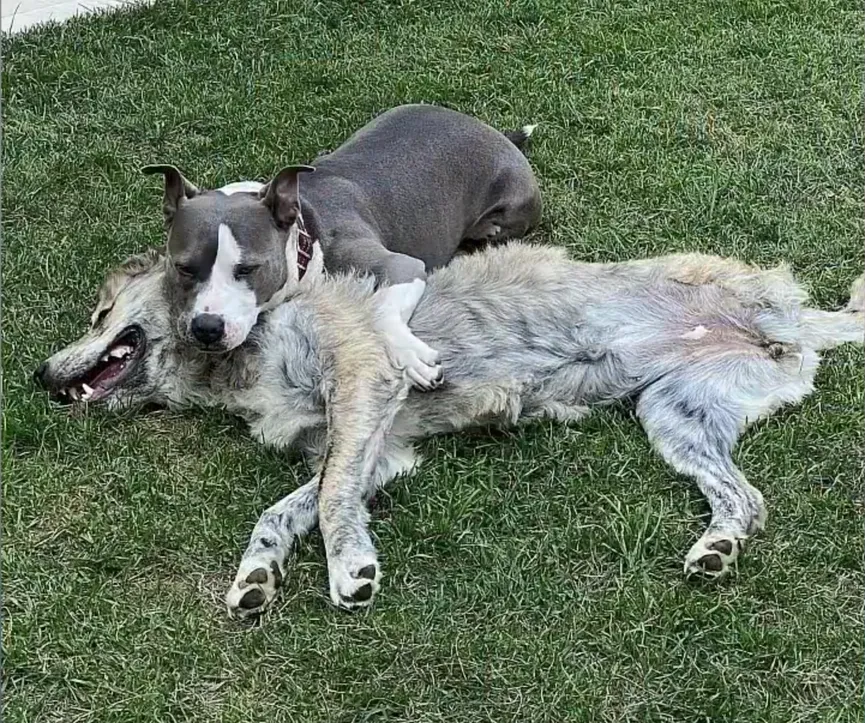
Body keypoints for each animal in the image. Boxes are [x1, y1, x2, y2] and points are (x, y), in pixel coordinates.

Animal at [37, 242, 860, 616]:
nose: (41, 377)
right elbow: (285, 508)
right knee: (746, 499)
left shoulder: (364, 380)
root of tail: (790, 323)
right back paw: (717, 548)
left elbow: (328, 499)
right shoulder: (375, 445)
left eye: (101, 315)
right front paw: (258, 574)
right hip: (676, 416)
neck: (239, 347)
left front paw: (348, 567)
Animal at [147, 103, 540, 390]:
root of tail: (494, 132)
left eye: (247, 269)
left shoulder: (402, 265)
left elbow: (380, 309)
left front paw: (411, 357)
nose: (207, 328)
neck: (306, 233)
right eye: (183, 267)